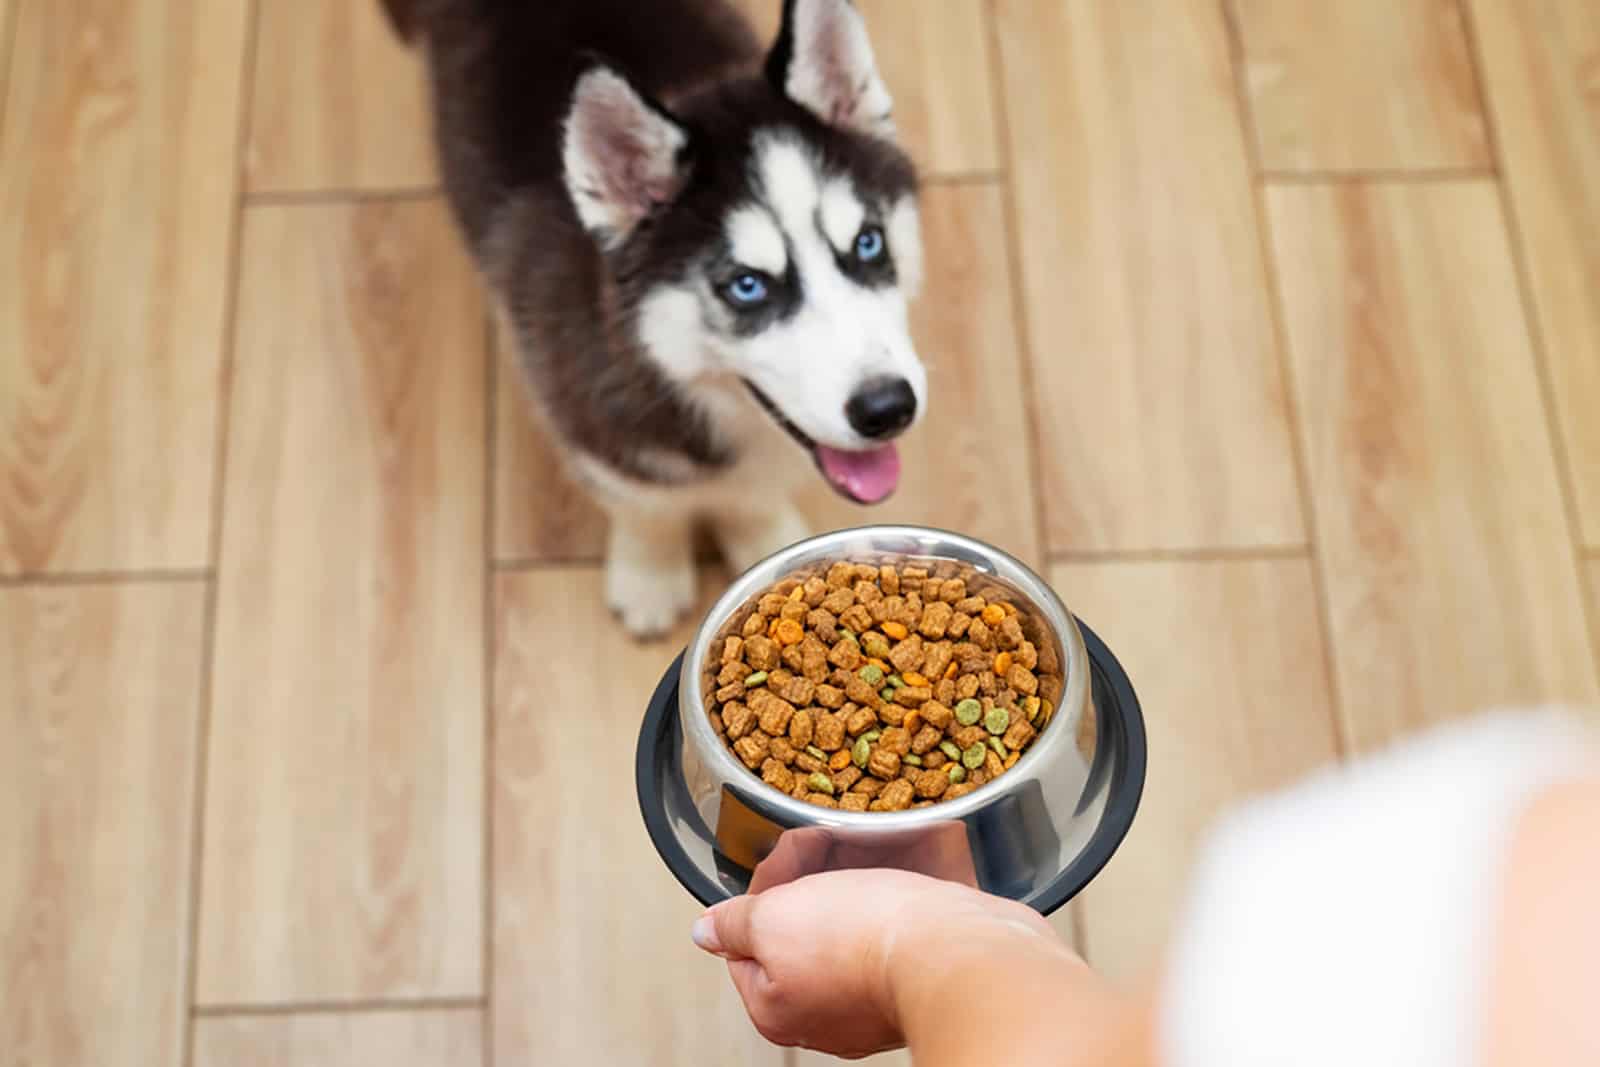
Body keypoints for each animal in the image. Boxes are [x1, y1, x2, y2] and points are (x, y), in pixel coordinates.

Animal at [384, 0, 928, 633]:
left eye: (868, 243)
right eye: (747, 286)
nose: (887, 408)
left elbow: (751, 498)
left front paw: (763, 539)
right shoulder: (592, 422)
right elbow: (645, 507)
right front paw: (651, 574)